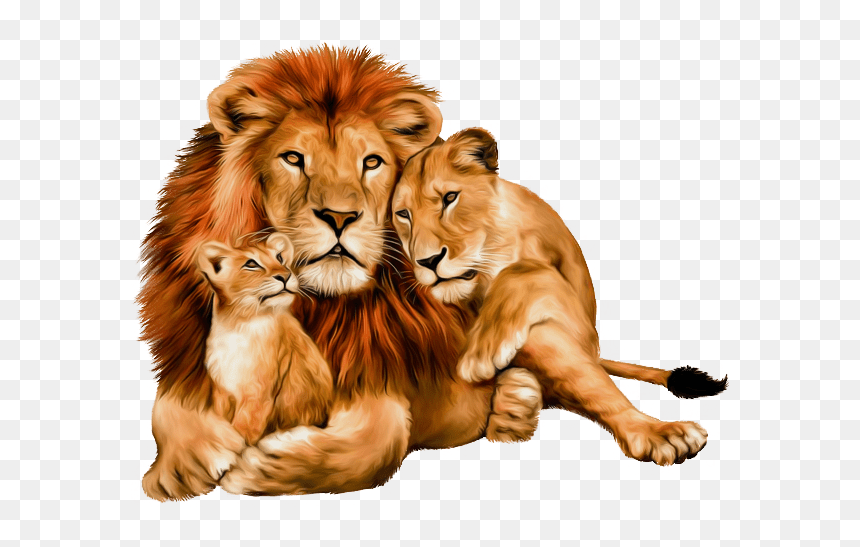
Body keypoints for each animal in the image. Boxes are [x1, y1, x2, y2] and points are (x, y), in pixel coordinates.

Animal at [140, 47, 546, 499]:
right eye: (293, 158)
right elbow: (169, 407)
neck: (323, 306)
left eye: (371, 162)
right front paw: (178, 466)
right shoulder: (190, 361)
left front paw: (265, 466)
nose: (339, 216)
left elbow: (384, 436)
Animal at [390, 127, 728, 465]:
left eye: (450, 198)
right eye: (403, 214)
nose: (428, 261)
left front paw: (480, 355)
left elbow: (524, 270)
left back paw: (660, 432)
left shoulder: (576, 314)